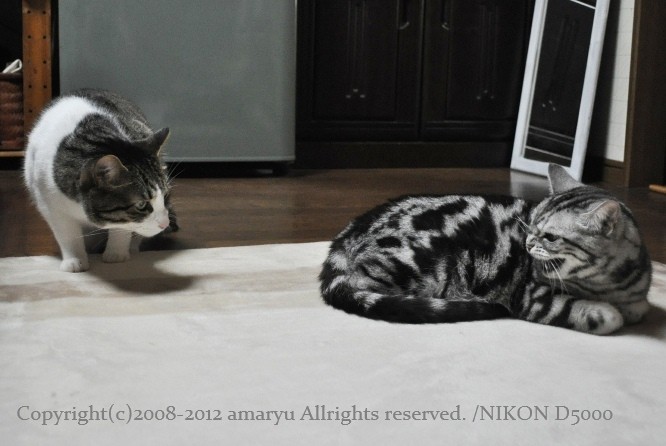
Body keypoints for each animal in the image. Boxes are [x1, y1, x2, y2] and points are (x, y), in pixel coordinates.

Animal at [24, 88, 178, 272]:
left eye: (165, 195)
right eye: (141, 205)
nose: (164, 224)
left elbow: (123, 226)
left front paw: (116, 253)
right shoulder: (49, 203)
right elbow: (67, 233)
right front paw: (75, 261)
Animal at [320, 164, 652, 335]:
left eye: (550, 237)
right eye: (531, 225)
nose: (528, 243)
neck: (607, 284)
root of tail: (349, 231)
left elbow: (640, 307)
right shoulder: (533, 296)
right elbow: (602, 315)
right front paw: (609, 312)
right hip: (417, 263)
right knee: (365, 287)